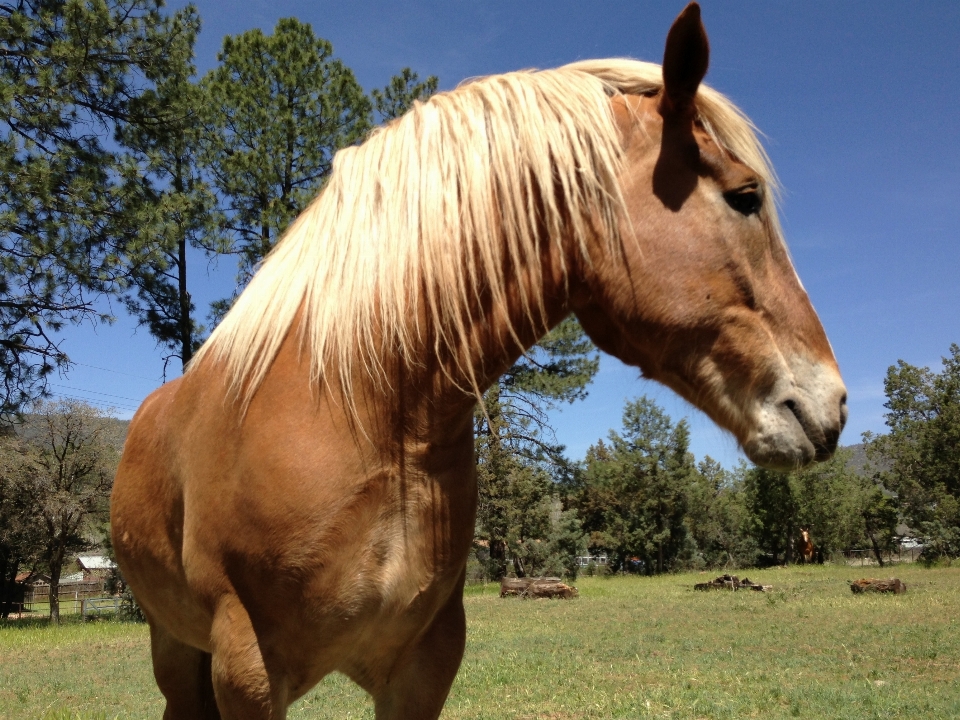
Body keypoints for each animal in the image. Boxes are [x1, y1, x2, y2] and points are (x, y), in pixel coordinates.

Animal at [112, 4, 848, 716]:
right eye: (745, 196)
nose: (834, 403)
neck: (360, 409)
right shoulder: (248, 674)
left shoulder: (423, 671)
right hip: (175, 650)